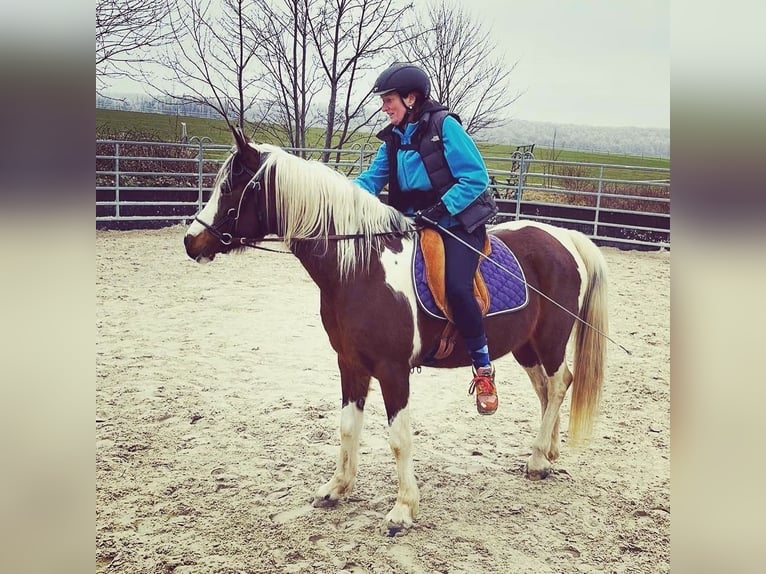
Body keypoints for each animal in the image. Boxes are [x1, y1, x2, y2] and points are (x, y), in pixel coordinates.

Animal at [183, 128, 608, 536]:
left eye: (231, 186)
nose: (190, 241)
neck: (361, 267)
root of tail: (564, 238)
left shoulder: (393, 370)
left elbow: (399, 439)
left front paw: (403, 509)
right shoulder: (350, 363)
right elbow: (347, 428)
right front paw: (336, 488)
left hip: (550, 341)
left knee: (558, 384)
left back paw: (537, 459)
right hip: (525, 346)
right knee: (548, 389)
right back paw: (548, 453)